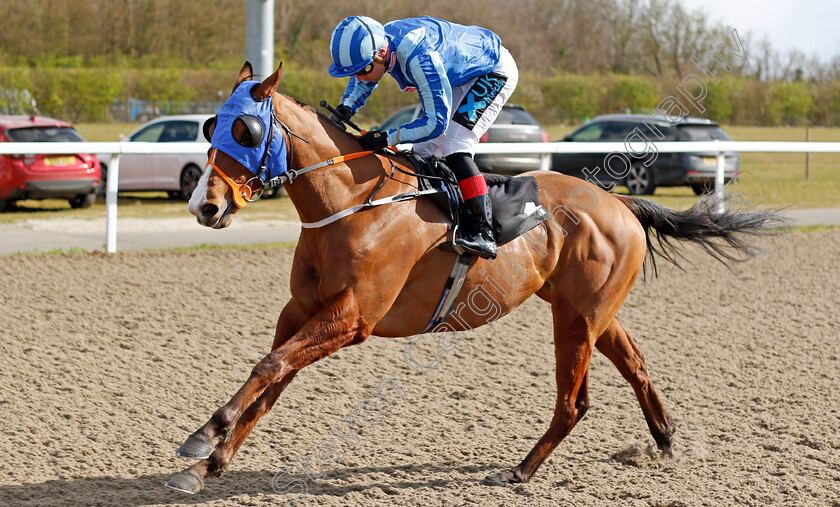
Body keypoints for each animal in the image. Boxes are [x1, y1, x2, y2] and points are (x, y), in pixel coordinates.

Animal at [167, 61, 784, 494]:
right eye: (210, 126)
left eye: (245, 130)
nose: (204, 205)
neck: (352, 204)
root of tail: (621, 203)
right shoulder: (301, 311)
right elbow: (272, 379)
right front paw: (211, 461)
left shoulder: (351, 318)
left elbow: (269, 367)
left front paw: (204, 438)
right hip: (587, 310)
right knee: (634, 365)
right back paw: (666, 439)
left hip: (578, 318)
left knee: (573, 403)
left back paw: (519, 471)